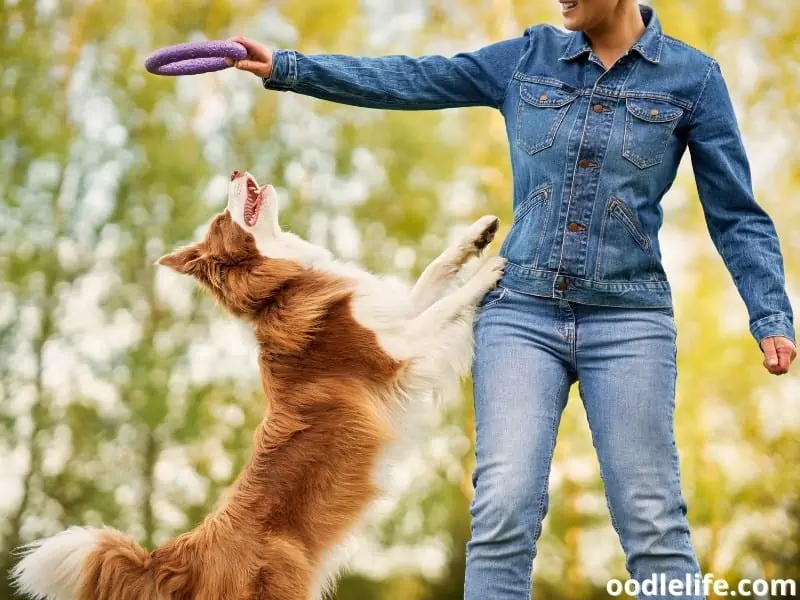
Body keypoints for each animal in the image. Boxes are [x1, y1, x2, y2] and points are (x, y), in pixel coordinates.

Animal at [10, 170, 506, 600]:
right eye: (221, 220)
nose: (233, 170)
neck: (283, 287)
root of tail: (172, 560)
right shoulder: (398, 353)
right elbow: (446, 305)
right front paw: (490, 273)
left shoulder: (395, 317)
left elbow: (433, 275)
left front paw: (478, 235)